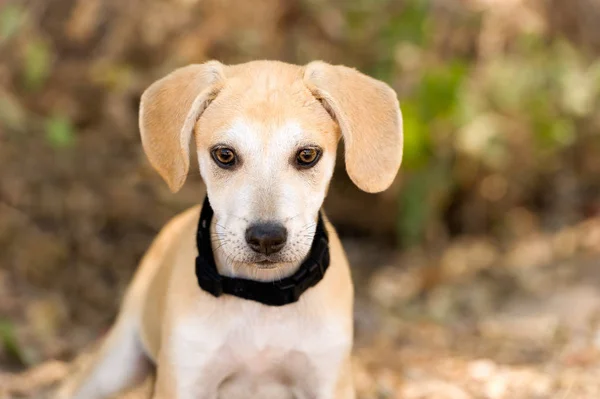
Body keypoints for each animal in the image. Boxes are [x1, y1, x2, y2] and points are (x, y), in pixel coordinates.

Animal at [55, 60, 404, 399]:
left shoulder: (327, 379)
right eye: (224, 154)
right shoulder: (186, 378)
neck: (260, 298)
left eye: (307, 155)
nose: (267, 239)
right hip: (114, 365)